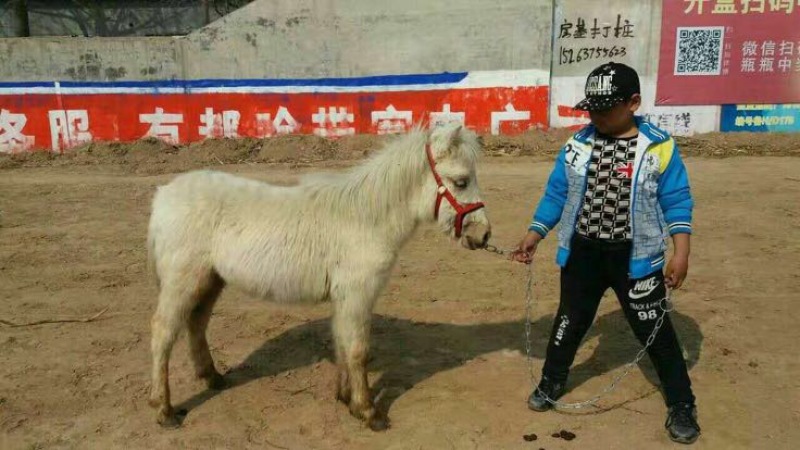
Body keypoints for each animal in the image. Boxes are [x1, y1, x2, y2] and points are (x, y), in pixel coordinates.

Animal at [146, 123, 492, 431]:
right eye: (461, 181)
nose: (484, 235)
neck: (366, 218)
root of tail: (164, 194)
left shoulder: (344, 296)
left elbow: (342, 342)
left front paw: (346, 398)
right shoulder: (358, 293)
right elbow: (358, 349)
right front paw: (369, 412)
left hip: (210, 279)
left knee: (196, 323)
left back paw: (213, 377)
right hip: (182, 281)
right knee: (163, 333)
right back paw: (164, 411)